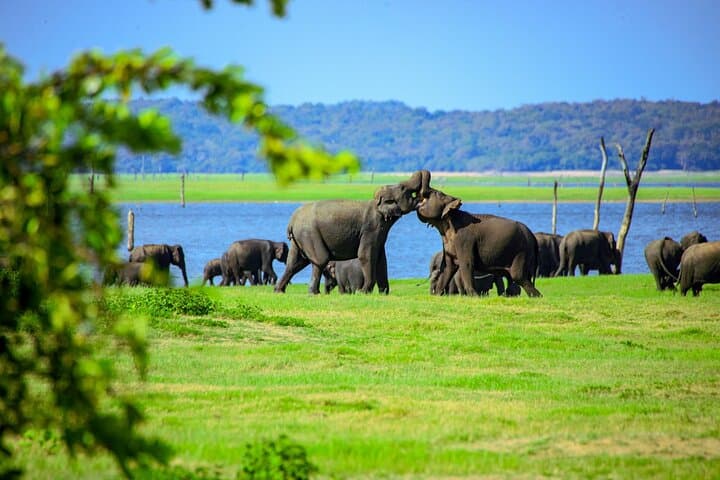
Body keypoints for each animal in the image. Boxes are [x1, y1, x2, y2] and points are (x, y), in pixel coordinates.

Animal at [274, 170, 431, 295]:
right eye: (403, 187)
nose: (423, 195)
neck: (376, 204)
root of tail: (291, 221)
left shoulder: (380, 233)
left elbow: (382, 259)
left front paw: (384, 293)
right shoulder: (371, 228)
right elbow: (366, 255)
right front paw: (363, 292)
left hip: (299, 238)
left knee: (295, 263)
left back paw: (279, 291)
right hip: (310, 234)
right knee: (320, 260)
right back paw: (314, 293)